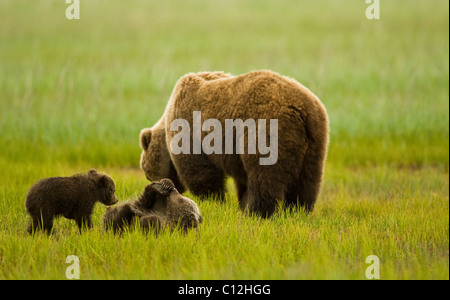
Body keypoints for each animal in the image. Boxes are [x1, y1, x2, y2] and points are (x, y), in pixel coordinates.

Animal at [139, 70, 328, 218]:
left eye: (147, 174)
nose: (161, 192)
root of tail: (301, 109)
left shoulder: (190, 130)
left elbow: (201, 174)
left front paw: (213, 200)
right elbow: (241, 180)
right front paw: (238, 203)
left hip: (267, 130)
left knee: (265, 176)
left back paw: (258, 212)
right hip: (315, 141)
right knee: (307, 181)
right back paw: (298, 210)